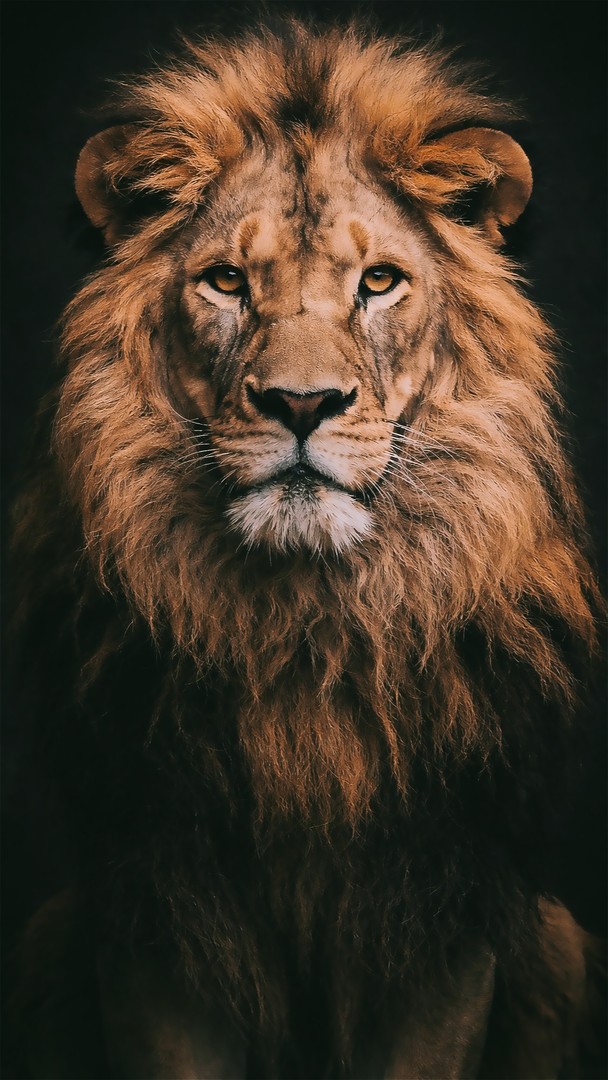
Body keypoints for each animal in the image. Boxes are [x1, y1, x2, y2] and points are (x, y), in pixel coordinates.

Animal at [9, 17, 604, 1080]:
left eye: (378, 282)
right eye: (226, 282)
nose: (301, 403)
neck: (304, 630)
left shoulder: (445, 920)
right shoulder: (158, 919)